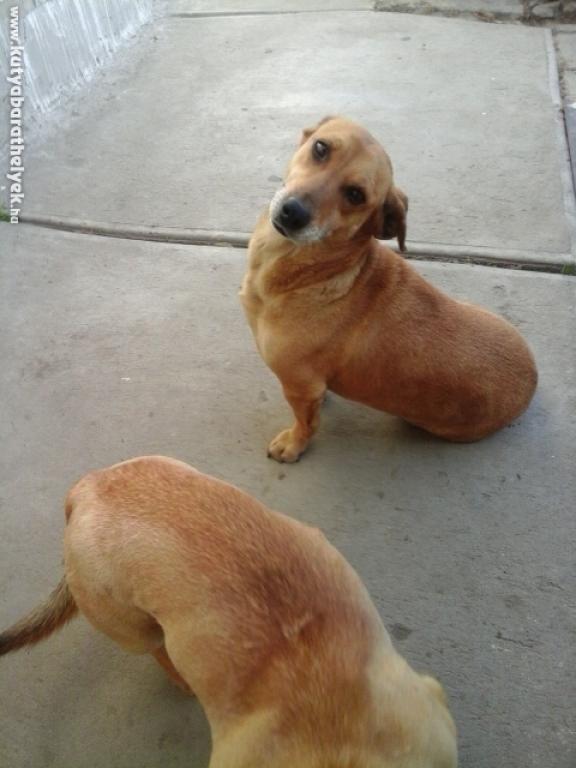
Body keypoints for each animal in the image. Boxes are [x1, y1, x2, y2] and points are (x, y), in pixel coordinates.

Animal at [240, 116, 538, 462]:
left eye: (355, 195)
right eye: (320, 148)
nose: (293, 212)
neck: (320, 272)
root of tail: (531, 383)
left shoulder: (300, 386)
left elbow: (307, 423)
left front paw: (294, 444)